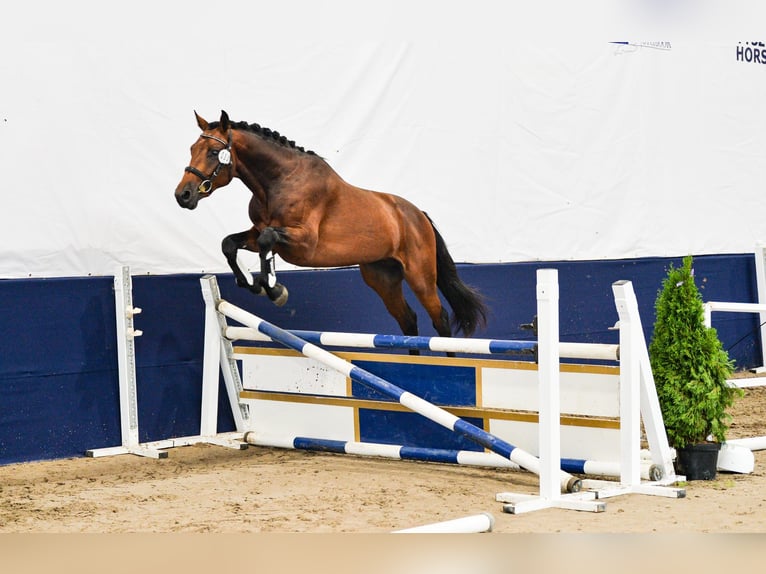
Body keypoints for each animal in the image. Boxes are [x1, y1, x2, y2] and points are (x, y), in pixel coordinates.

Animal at [175, 110, 488, 340]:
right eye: (191, 148)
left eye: (213, 152)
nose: (183, 195)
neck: (278, 182)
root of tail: (418, 215)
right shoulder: (256, 233)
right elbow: (230, 243)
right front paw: (253, 284)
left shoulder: (303, 244)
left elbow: (267, 240)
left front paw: (274, 290)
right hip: (382, 278)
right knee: (408, 321)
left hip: (420, 276)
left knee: (440, 320)